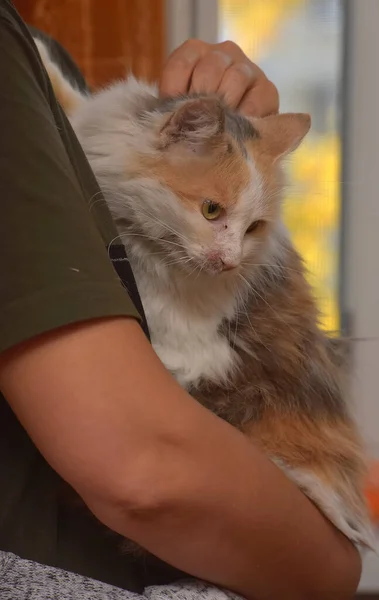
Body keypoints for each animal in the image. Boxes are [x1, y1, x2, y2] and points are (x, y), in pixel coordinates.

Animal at [35, 37, 374, 552]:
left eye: (253, 228)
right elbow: (72, 100)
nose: (229, 261)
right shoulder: (104, 124)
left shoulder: (193, 344)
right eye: (212, 210)